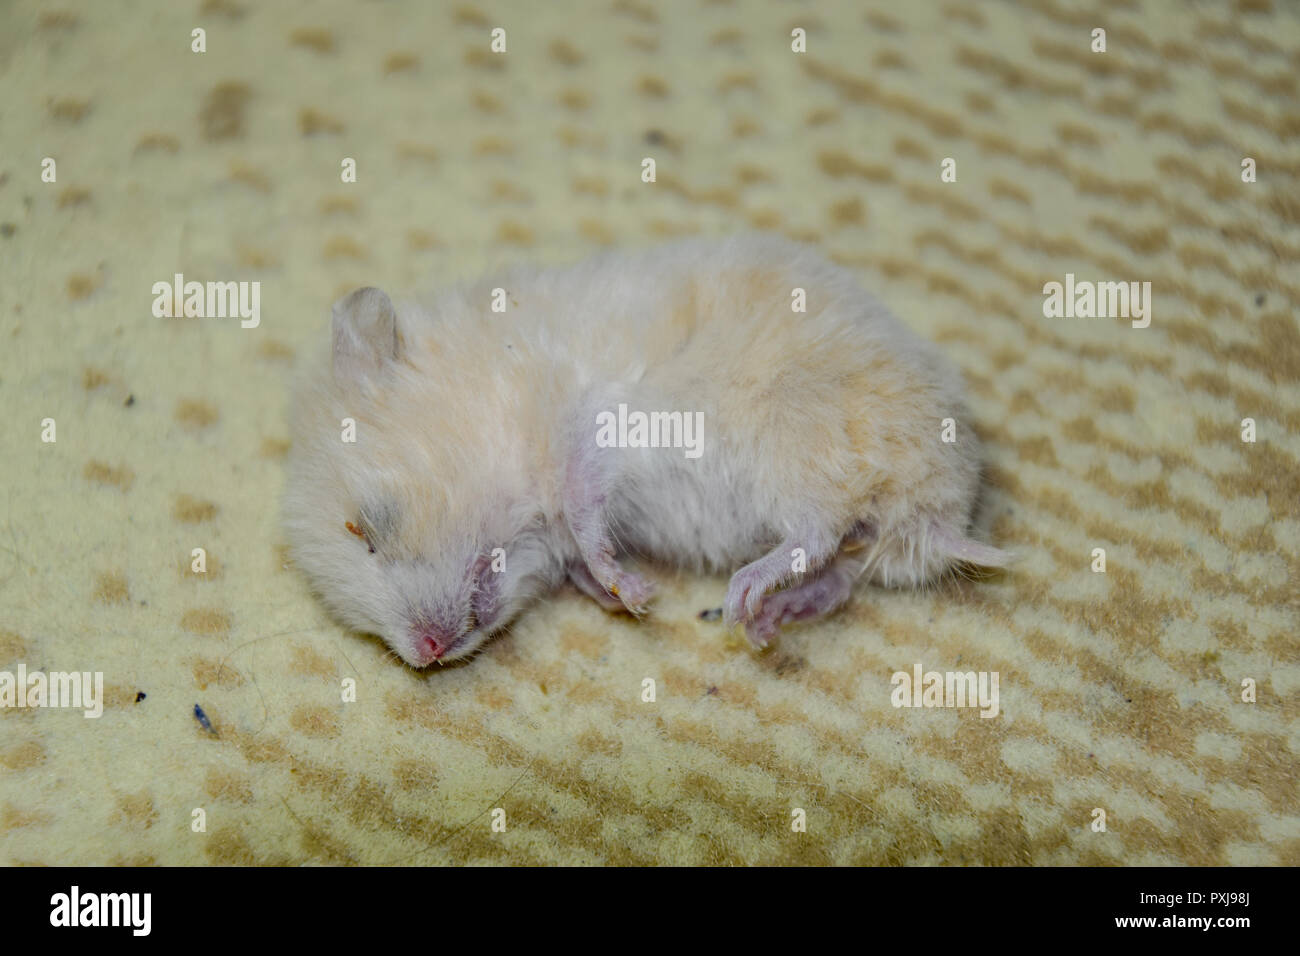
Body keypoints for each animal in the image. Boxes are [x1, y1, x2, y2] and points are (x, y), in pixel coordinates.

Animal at [282, 233, 1010, 668]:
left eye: (362, 528)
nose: (427, 654)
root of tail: (939, 511)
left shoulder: (602, 417)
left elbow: (583, 504)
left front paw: (635, 593)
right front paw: (617, 594)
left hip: (795, 440)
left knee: (816, 532)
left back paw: (744, 602)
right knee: (836, 570)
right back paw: (771, 620)